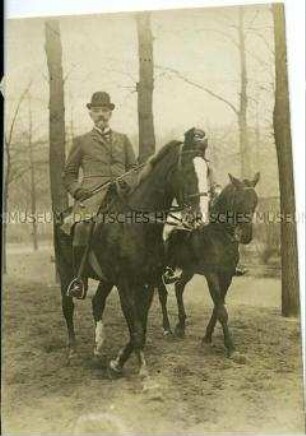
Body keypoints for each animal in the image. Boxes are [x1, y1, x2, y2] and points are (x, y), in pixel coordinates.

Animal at [55, 138, 208, 376]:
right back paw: (71, 352)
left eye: (207, 170)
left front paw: (118, 362)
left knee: (97, 303)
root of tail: (63, 214)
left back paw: (98, 351)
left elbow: (141, 324)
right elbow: (135, 326)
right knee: (68, 306)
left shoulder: (147, 282)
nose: (200, 218)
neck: (136, 226)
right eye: (187, 170)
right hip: (66, 271)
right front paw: (142, 369)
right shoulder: (125, 283)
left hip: (106, 279)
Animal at [158, 171, 260, 358]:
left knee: (179, 287)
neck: (220, 235)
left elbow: (218, 306)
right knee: (162, 293)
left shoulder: (227, 276)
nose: (246, 236)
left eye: (255, 201)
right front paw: (231, 348)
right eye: (238, 201)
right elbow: (222, 311)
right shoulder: (212, 275)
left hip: (189, 270)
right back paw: (167, 327)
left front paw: (207, 336)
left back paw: (181, 326)